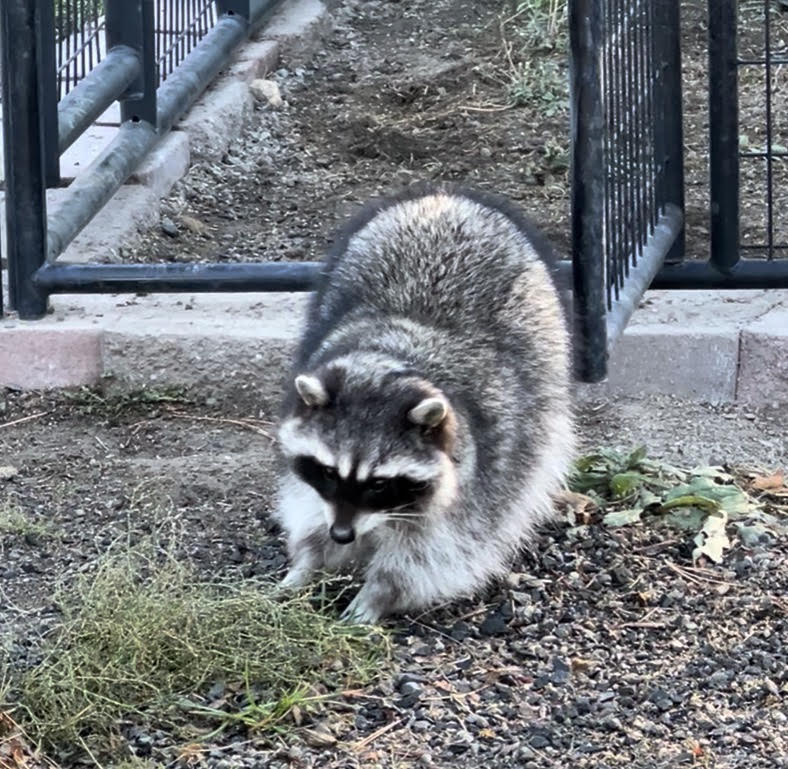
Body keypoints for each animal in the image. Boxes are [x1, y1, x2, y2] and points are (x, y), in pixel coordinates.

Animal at [272, 183, 575, 624]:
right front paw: (307, 561)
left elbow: (431, 554)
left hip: (546, 340)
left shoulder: (479, 481)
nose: (342, 535)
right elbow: (309, 506)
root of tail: (443, 197)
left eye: (379, 484)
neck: (388, 363)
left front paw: (379, 593)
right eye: (328, 472)